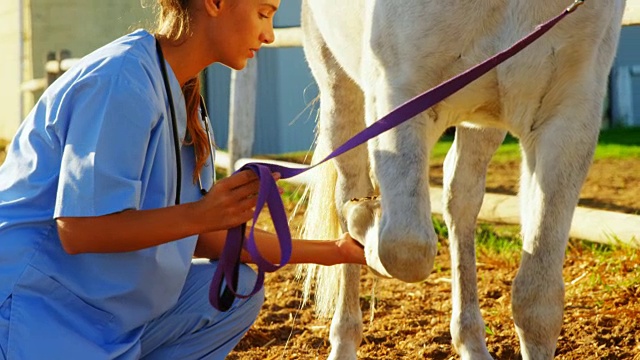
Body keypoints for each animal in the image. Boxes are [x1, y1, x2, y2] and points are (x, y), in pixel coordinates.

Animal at [298, 0, 624, 360]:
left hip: (482, 122)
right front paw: (364, 221)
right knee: (349, 190)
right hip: (339, 91)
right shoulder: (398, 95)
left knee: (460, 201)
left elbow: (538, 300)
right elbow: (405, 247)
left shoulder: (568, 120)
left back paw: (471, 344)